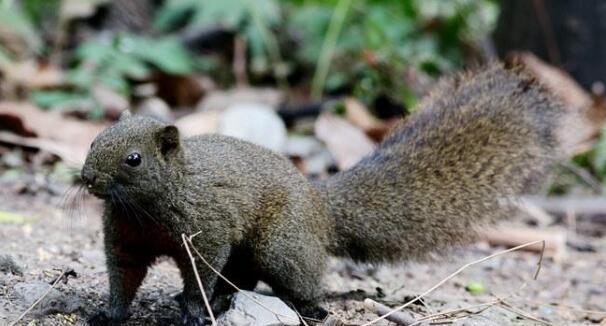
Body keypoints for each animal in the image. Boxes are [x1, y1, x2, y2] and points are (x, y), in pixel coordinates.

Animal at [82, 64, 568, 326]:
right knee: (244, 279)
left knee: (294, 282)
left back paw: (308, 308)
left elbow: (201, 272)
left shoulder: (205, 229)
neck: (145, 209)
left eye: (133, 159)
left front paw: (195, 310)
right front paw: (110, 314)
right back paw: (227, 301)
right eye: (92, 141)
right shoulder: (125, 240)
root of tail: (320, 208)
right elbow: (123, 277)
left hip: (281, 245)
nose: (87, 178)